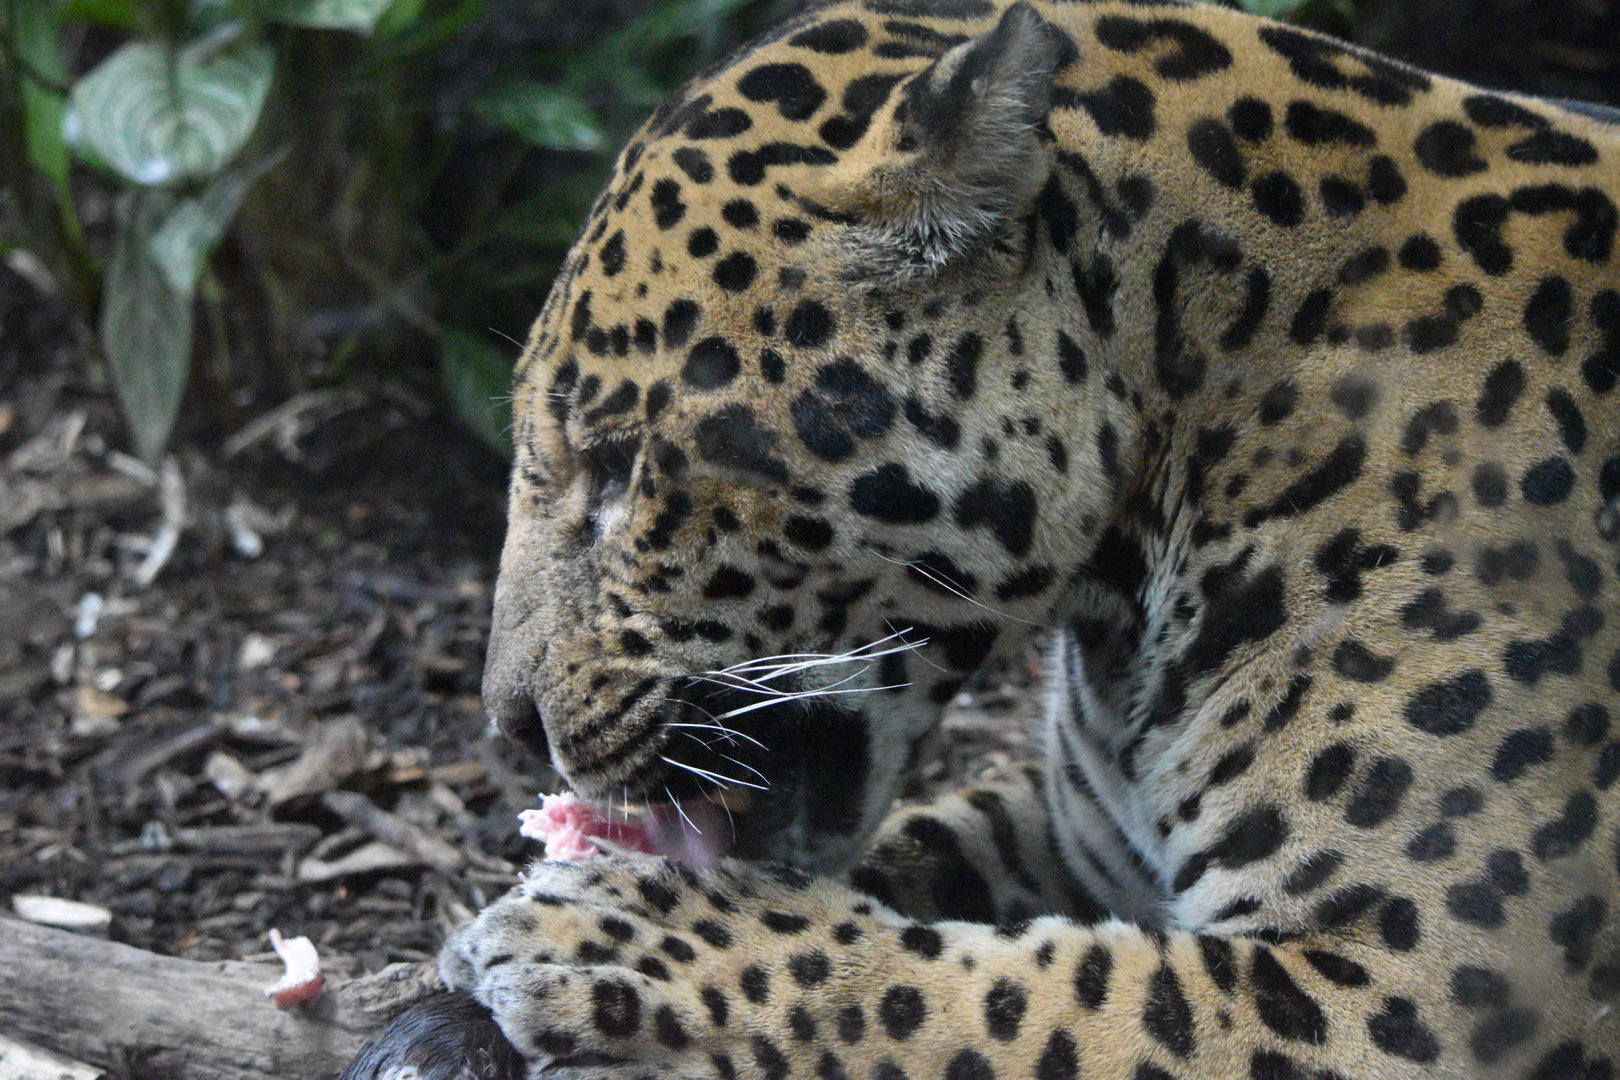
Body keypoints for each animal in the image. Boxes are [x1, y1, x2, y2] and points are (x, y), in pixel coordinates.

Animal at [342, 2, 1620, 1078]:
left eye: (618, 465)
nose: (509, 723)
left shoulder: (1410, 992)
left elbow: (988, 996)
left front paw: (614, 938)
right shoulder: (1076, 828)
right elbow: (927, 864)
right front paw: (443, 1005)